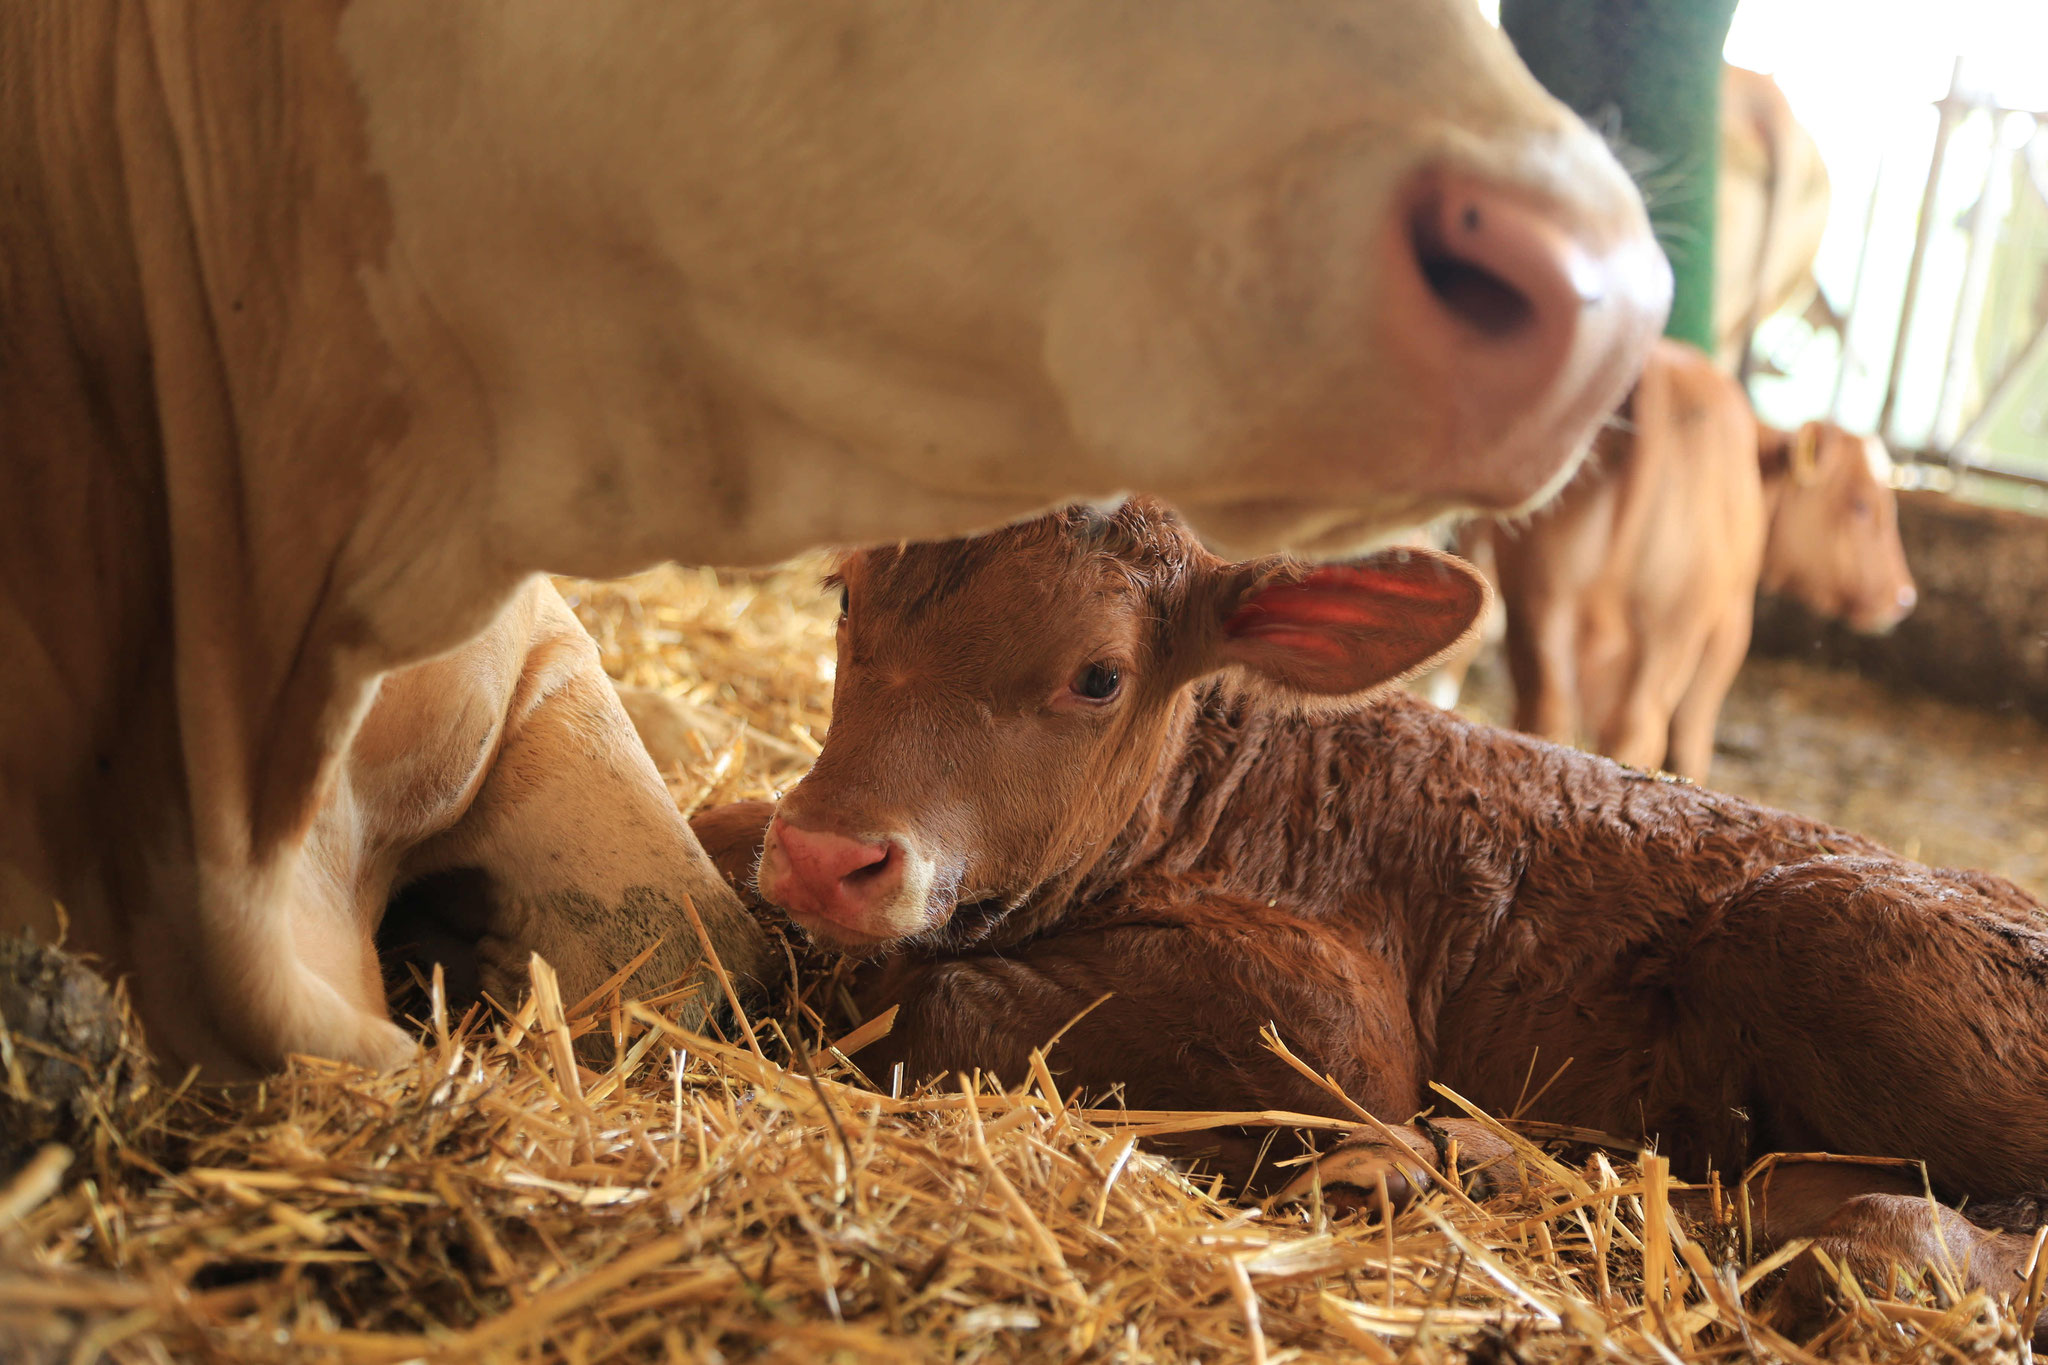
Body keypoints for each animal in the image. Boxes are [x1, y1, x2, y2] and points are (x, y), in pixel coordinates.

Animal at [692, 499, 2048, 1326]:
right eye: (845, 596)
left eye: (1098, 676)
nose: (828, 858)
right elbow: (717, 830)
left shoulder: (1338, 1011)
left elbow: (943, 995)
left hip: (1827, 933)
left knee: (1948, 1236)